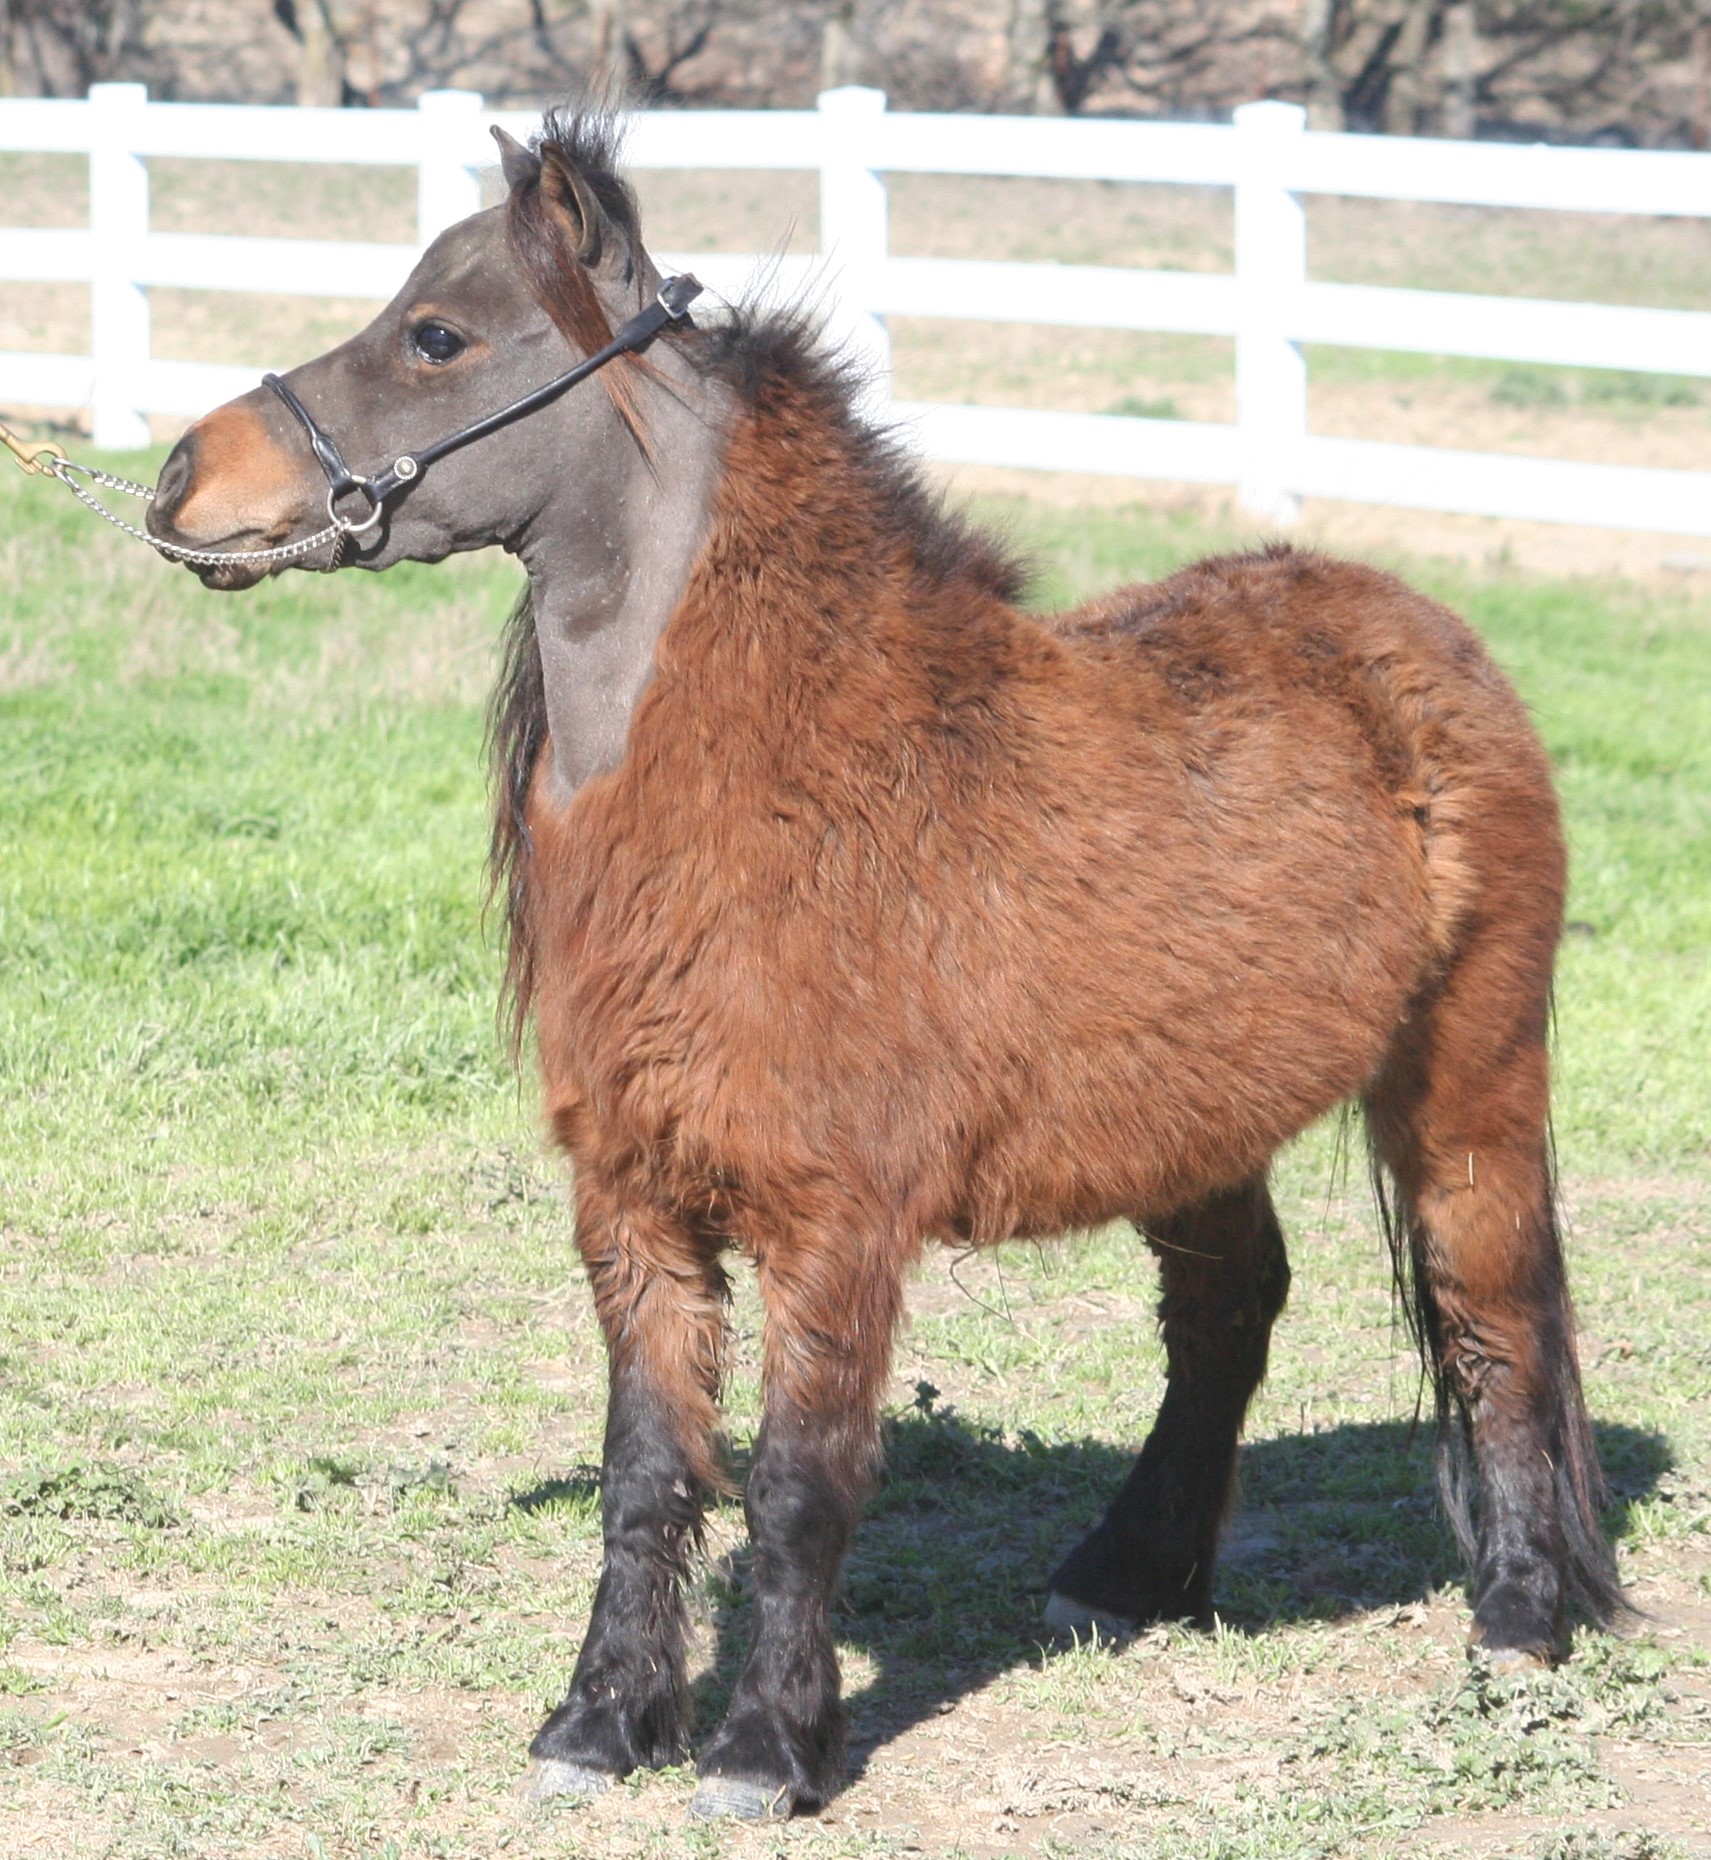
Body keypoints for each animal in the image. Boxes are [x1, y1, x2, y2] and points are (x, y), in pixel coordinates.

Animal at [143, 107, 1625, 1821]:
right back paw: (1129, 1577)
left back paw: (1517, 1618)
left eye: (436, 335)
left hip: (1464, 1074)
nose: (182, 477)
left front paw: (762, 1752)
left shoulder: (834, 1226)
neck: (784, 780)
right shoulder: (633, 1210)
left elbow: (798, 1483)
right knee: (1227, 1311)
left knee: (1488, 1307)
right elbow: (648, 1471)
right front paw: (599, 1724)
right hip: (1195, 1120)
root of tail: (1421, 634)